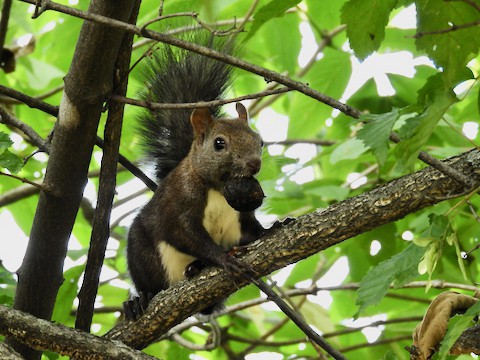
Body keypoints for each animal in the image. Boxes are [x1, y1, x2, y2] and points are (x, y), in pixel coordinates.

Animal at [124, 38, 264, 320]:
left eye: (260, 141)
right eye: (219, 143)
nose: (254, 163)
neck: (218, 188)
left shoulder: (242, 217)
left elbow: (252, 231)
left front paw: (274, 227)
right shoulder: (179, 203)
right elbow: (185, 234)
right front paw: (222, 258)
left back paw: (196, 268)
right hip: (142, 254)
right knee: (150, 283)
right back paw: (140, 299)